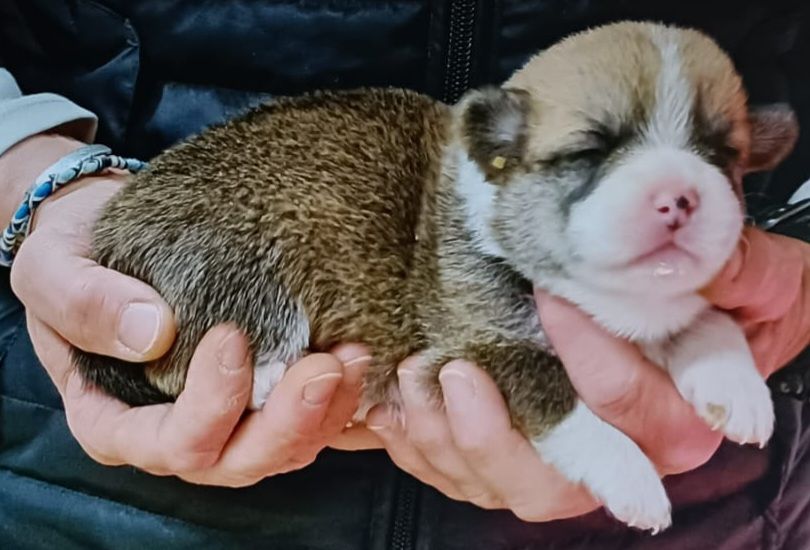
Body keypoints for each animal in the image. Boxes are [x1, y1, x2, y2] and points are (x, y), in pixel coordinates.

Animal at [74, 22, 796, 536]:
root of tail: (110, 236)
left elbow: (701, 320)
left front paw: (735, 383)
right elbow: (560, 396)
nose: (680, 197)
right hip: (247, 272)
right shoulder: (470, 351)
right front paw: (634, 479)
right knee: (195, 365)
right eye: (591, 152)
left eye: (722, 156)